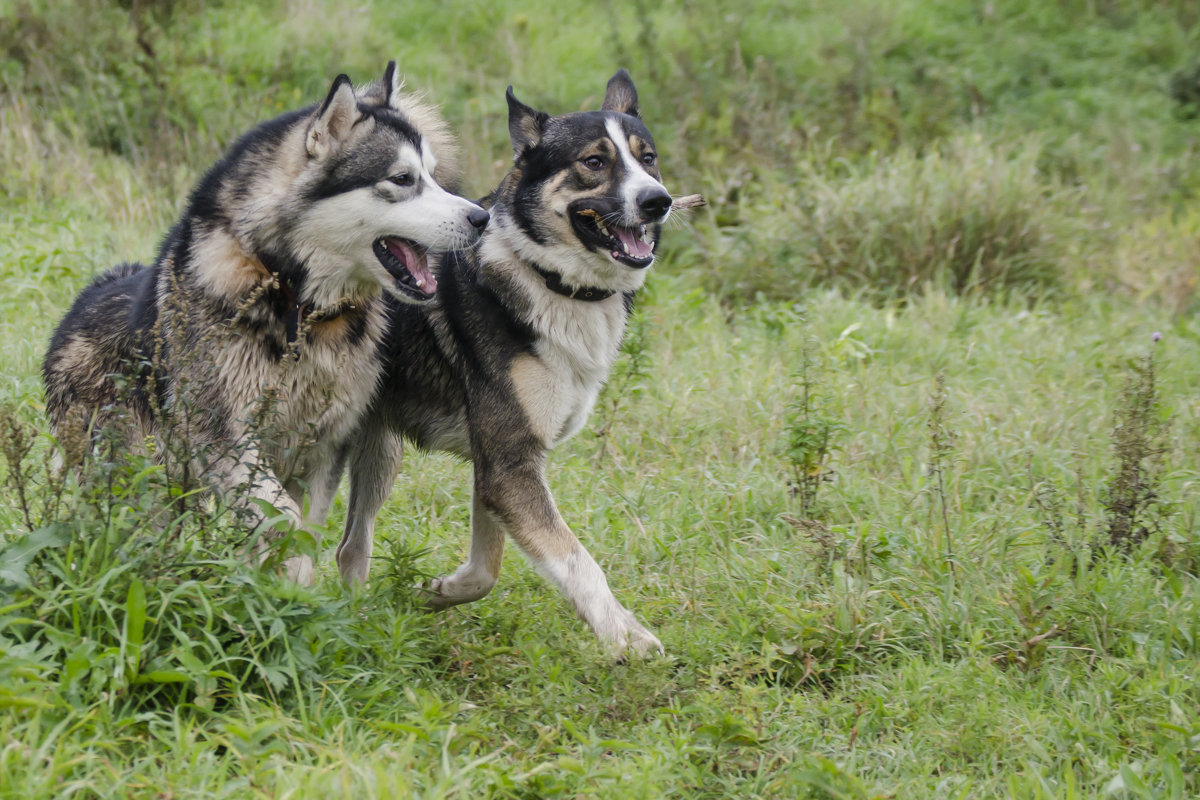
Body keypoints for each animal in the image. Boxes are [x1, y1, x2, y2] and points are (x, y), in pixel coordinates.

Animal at [44, 64, 487, 582]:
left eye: (434, 176)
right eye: (402, 178)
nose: (482, 217)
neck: (298, 304)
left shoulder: (323, 444)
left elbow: (304, 531)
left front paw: (287, 590)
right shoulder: (224, 438)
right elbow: (285, 522)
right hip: (140, 483)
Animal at [338, 68, 676, 657]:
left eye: (647, 158)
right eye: (594, 162)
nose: (659, 201)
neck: (549, 278)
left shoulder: (495, 466)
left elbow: (485, 570)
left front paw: (434, 592)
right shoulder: (509, 466)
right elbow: (577, 561)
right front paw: (625, 638)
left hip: (380, 452)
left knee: (351, 551)